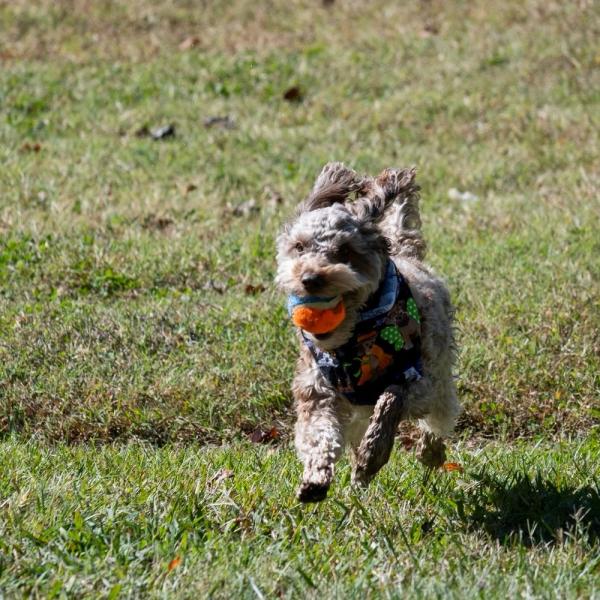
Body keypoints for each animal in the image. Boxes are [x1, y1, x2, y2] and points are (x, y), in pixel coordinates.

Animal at [276, 161, 460, 502]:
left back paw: (430, 452)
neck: (354, 342)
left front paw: (370, 458)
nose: (309, 279)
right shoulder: (318, 389)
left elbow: (391, 400)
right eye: (299, 247)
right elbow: (319, 433)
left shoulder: (416, 379)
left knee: (440, 415)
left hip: (440, 371)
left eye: (345, 251)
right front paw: (315, 479)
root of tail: (406, 253)